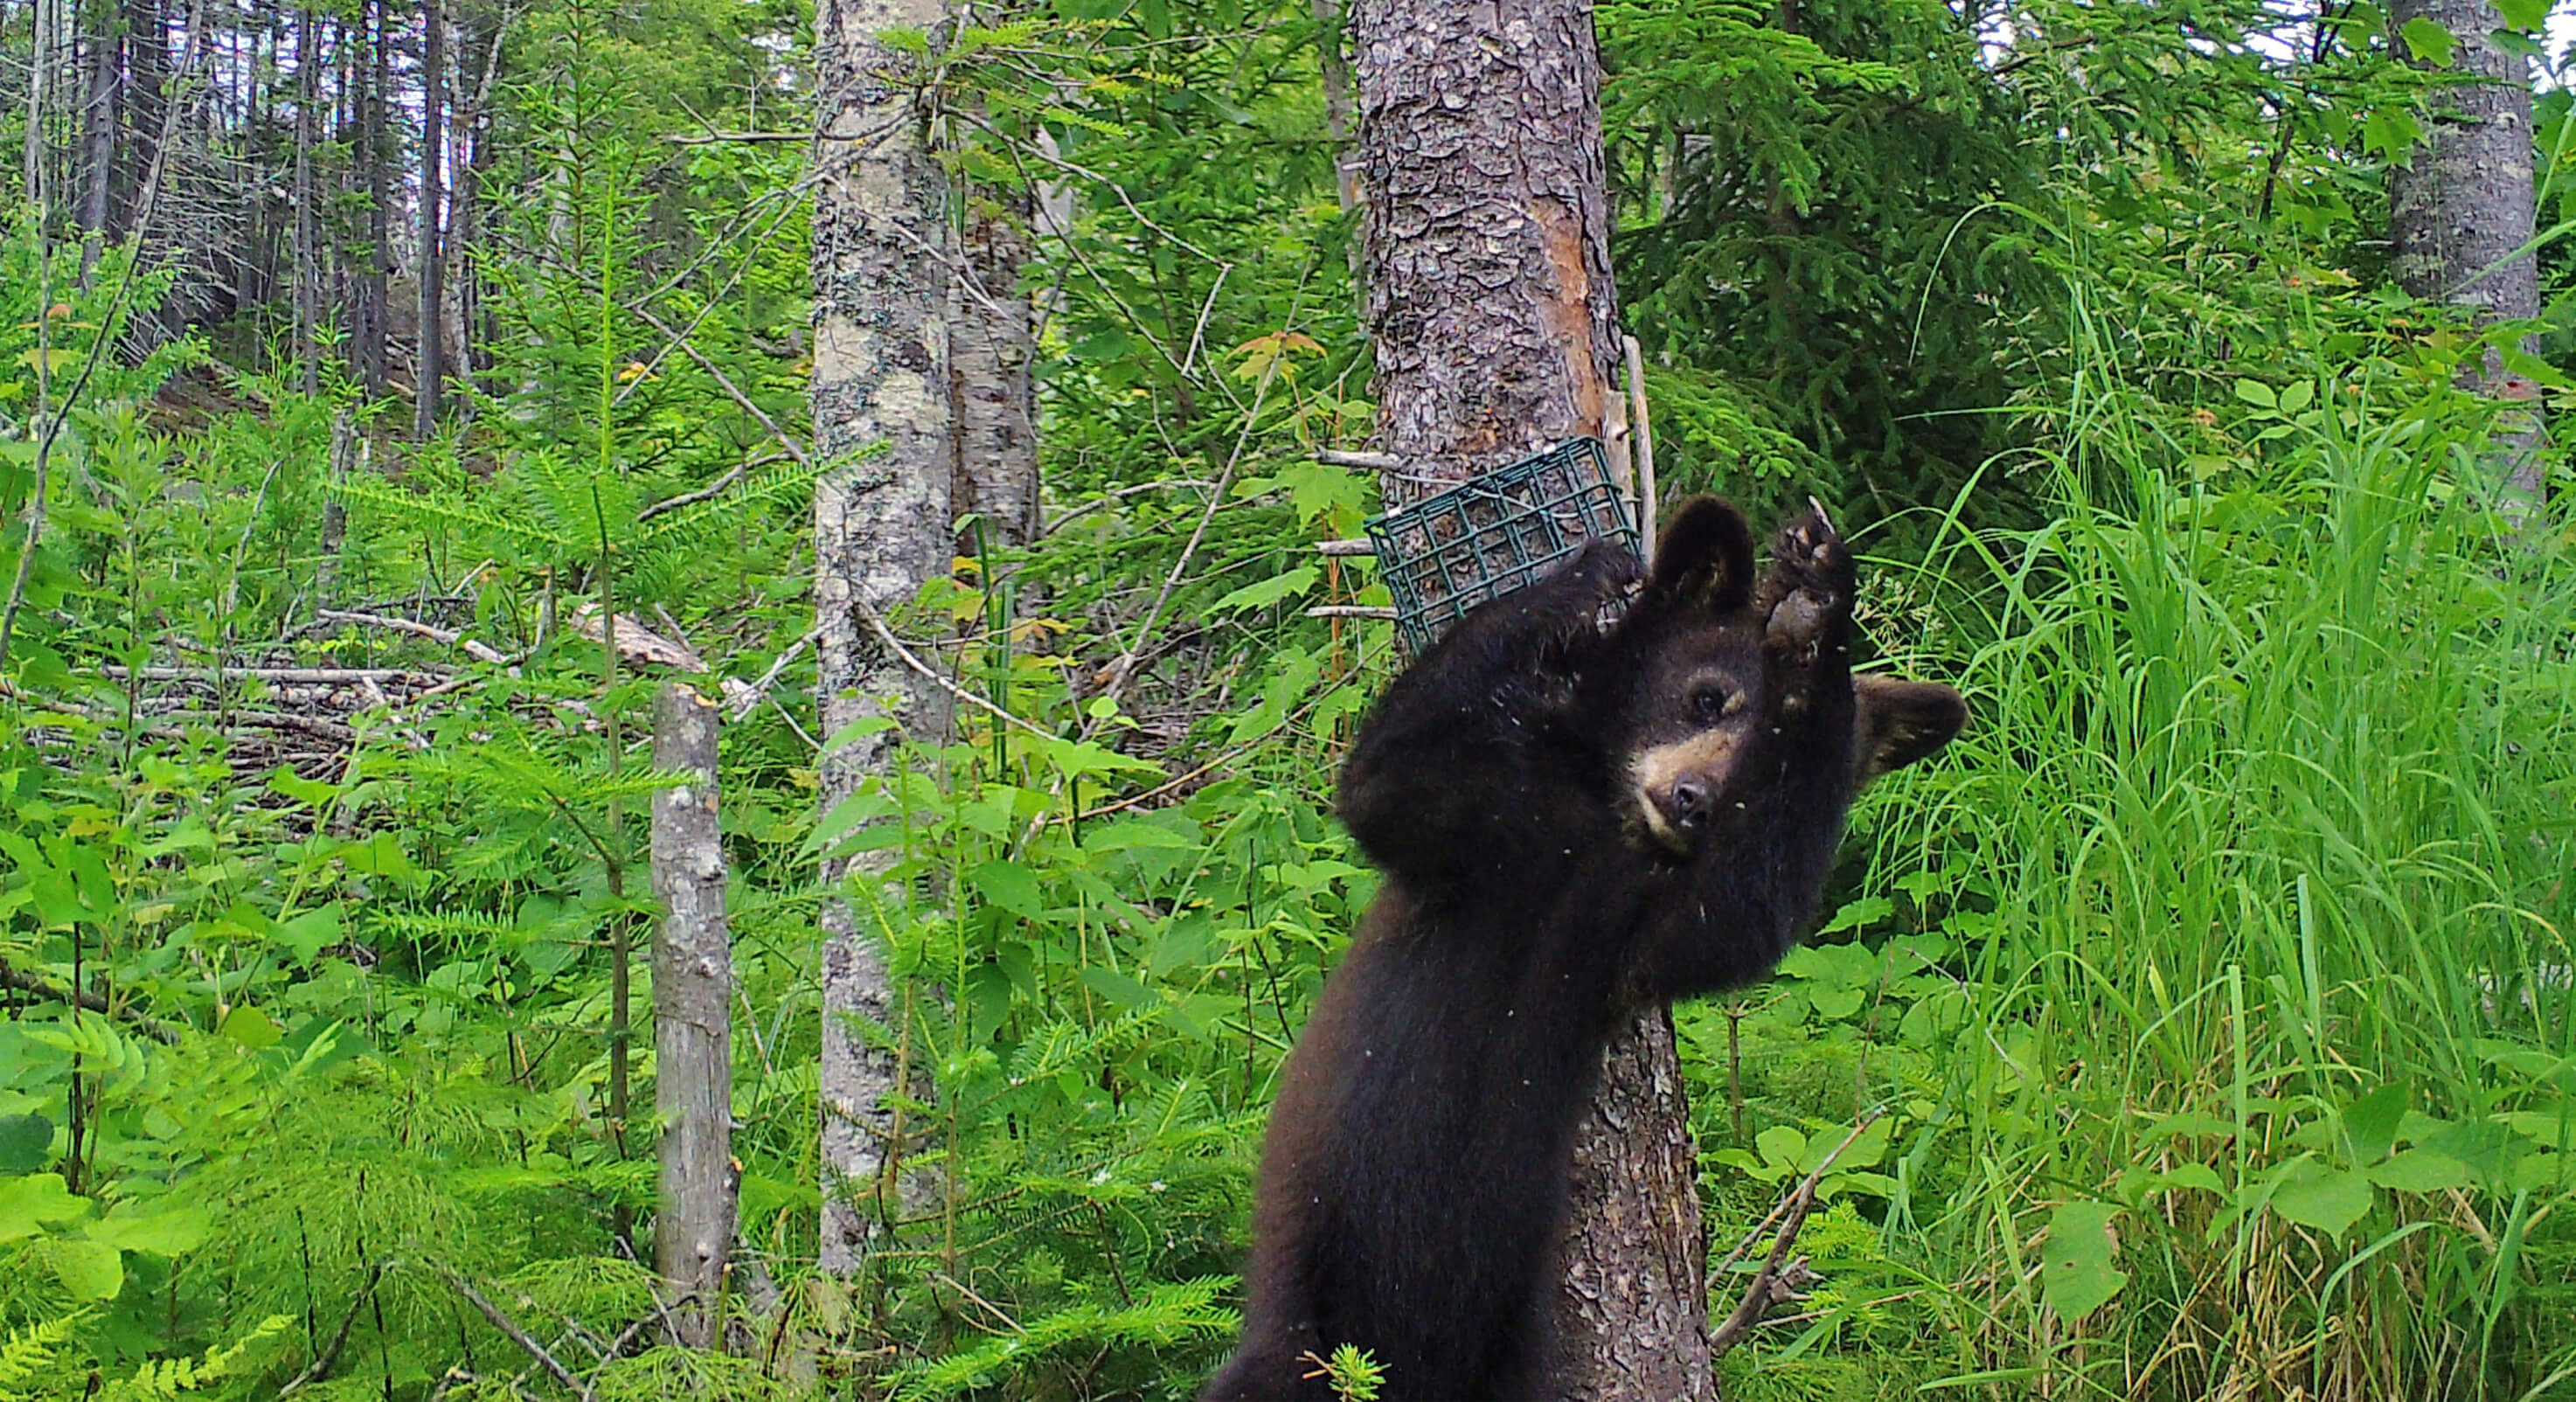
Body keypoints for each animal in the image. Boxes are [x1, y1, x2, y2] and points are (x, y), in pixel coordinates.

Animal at [1195, 497, 1957, 1392]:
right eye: (1707, 698)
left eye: (1748, 761)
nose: (1694, 801)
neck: (1601, 828)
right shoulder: (1486, 826)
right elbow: (1389, 775)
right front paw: (1579, 575)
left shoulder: (1630, 929)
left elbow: (1735, 919)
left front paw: (1819, 616)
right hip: (1296, 1331)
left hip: (1517, 1358)